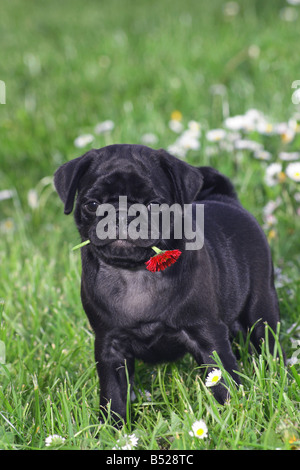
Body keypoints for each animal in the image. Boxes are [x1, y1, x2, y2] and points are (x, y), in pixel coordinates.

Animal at [54, 142, 284, 422]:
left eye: (154, 204)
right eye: (92, 204)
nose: (122, 215)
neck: (134, 272)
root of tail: (226, 199)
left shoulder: (207, 334)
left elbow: (223, 380)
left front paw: (232, 415)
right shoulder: (109, 346)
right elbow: (113, 395)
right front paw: (112, 426)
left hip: (261, 306)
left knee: (266, 339)